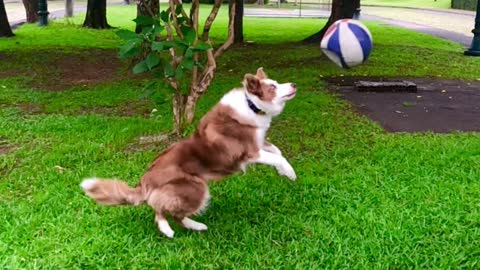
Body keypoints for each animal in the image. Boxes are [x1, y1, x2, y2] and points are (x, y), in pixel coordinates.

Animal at [81, 68, 296, 238]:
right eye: (273, 87)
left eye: (276, 83)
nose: (293, 84)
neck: (251, 105)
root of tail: (144, 182)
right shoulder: (249, 152)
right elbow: (277, 157)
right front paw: (290, 173)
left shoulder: (260, 143)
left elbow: (278, 152)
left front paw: (284, 172)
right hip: (195, 187)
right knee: (162, 211)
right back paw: (170, 229)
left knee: (171, 213)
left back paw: (195, 226)